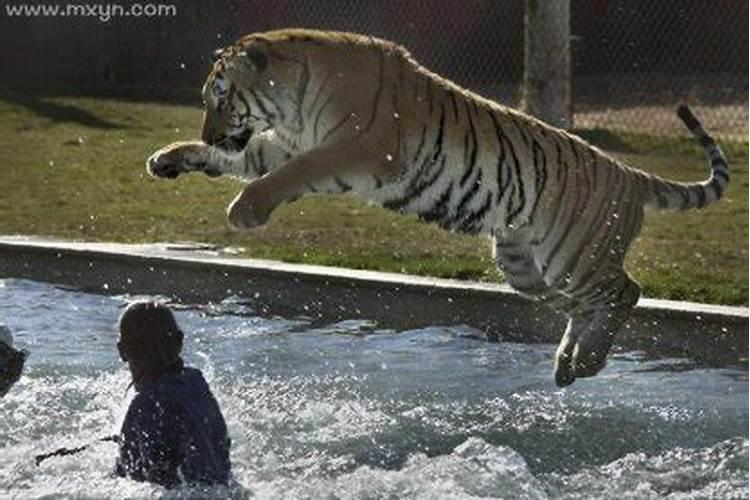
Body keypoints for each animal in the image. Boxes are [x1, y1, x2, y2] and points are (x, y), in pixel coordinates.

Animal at [147, 28, 728, 386]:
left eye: (221, 97)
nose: (212, 132)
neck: (292, 99)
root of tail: (629, 174)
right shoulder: (282, 144)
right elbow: (243, 160)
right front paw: (167, 158)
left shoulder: (349, 149)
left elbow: (284, 177)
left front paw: (243, 210)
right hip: (527, 266)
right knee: (586, 306)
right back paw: (570, 365)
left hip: (573, 254)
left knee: (626, 292)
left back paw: (586, 361)